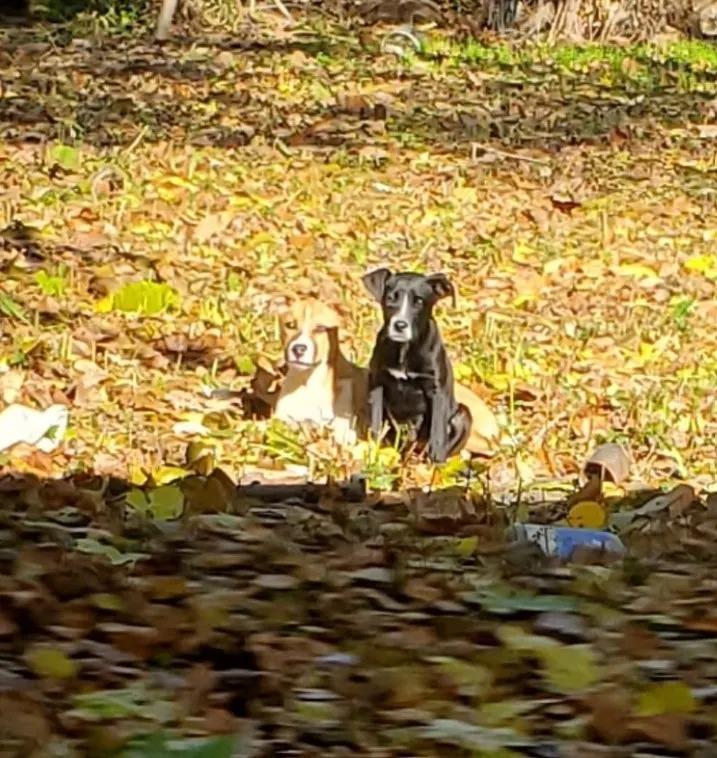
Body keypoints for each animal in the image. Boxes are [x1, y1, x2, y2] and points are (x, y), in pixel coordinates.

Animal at [360, 270, 472, 466]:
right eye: (390, 298)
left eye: (419, 301)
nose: (400, 325)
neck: (405, 349)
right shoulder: (377, 382)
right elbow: (376, 417)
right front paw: (374, 446)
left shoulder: (438, 389)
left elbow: (437, 427)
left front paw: (437, 458)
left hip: (464, 415)